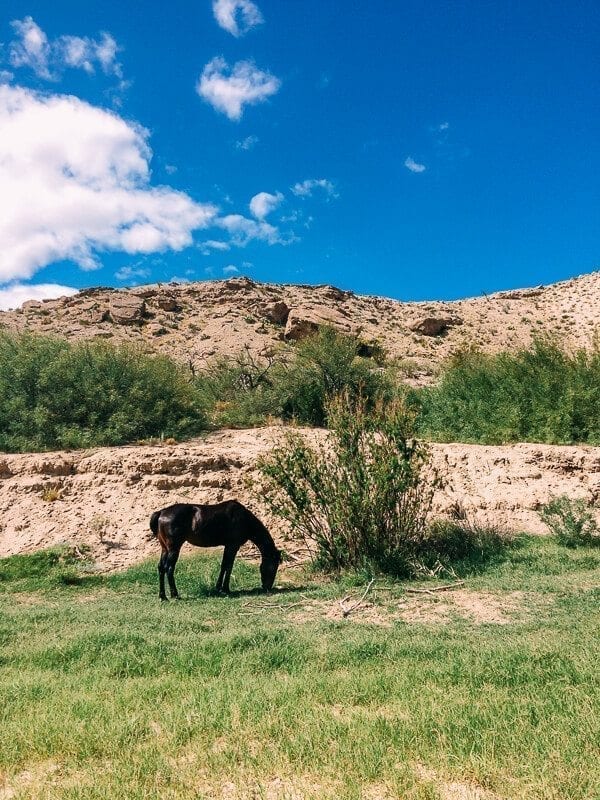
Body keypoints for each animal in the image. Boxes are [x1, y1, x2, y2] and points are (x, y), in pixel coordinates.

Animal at [149, 500, 282, 600]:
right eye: (274, 566)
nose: (267, 587)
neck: (244, 519)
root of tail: (161, 512)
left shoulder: (228, 546)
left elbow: (224, 565)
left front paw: (218, 588)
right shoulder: (233, 546)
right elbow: (229, 566)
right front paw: (226, 589)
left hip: (165, 549)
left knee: (161, 568)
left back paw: (163, 596)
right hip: (174, 548)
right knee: (169, 568)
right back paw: (175, 595)